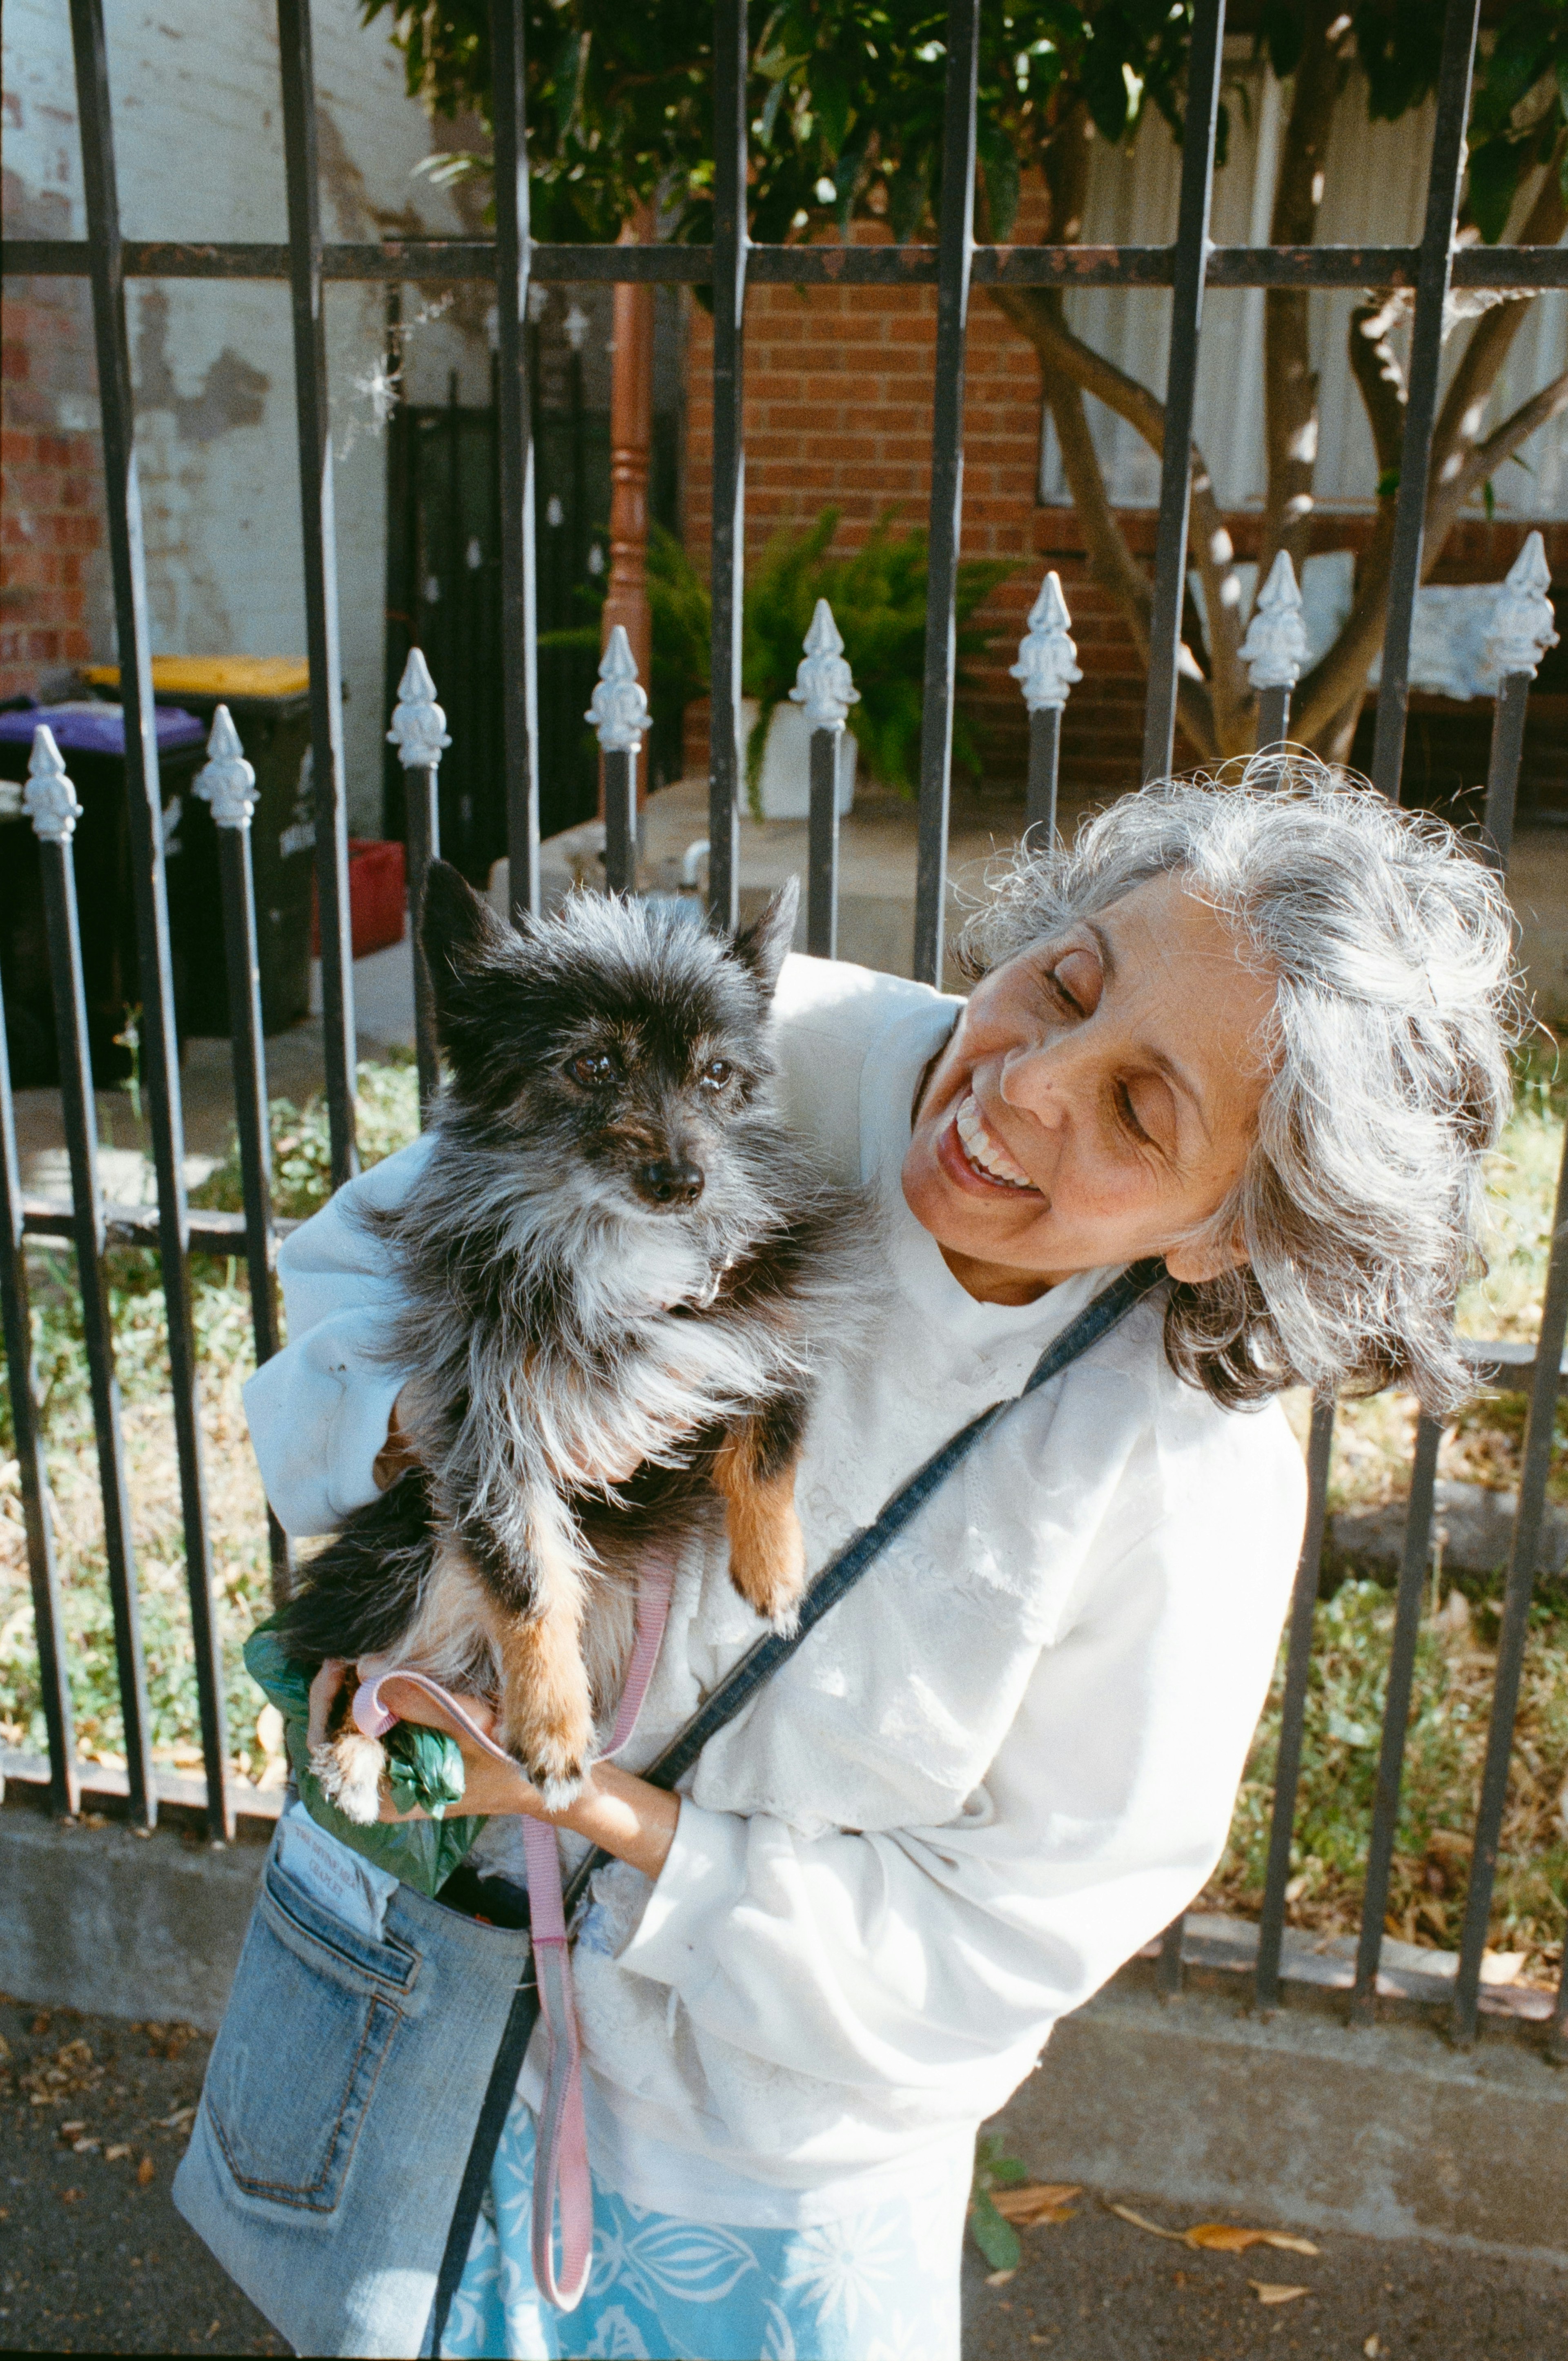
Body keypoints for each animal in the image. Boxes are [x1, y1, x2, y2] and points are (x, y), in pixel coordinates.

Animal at [282, 859, 869, 1813]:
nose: (684, 1180)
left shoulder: (763, 1323)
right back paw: (352, 1752)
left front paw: (777, 1571)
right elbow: (528, 1583)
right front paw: (554, 1728)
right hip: (410, 1547)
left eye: (716, 1075)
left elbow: (769, 1443)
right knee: (358, 1663)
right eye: (593, 1065)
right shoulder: (487, 1433)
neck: (617, 1246)